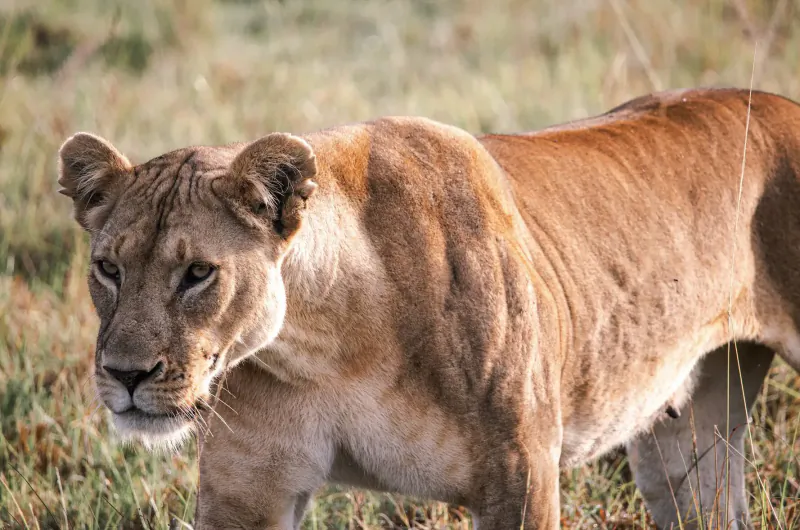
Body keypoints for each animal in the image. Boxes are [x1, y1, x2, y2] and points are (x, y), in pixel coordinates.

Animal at [57, 87, 800, 529]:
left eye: (198, 274)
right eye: (109, 269)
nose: (125, 377)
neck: (330, 346)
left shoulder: (522, 479)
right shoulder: (246, 493)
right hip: (686, 435)